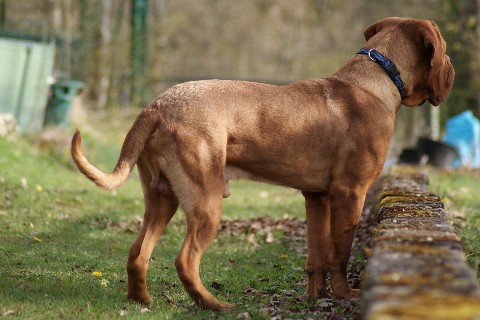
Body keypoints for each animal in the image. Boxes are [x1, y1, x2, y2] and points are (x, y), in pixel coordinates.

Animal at [71, 17, 454, 310]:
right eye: (446, 50)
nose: (452, 72)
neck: (380, 76)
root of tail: (156, 105)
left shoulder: (316, 197)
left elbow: (317, 256)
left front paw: (315, 297)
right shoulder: (350, 193)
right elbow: (339, 253)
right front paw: (346, 295)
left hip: (163, 198)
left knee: (138, 253)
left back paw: (142, 301)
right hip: (206, 200)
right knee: (185, 260)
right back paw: (215, 305)